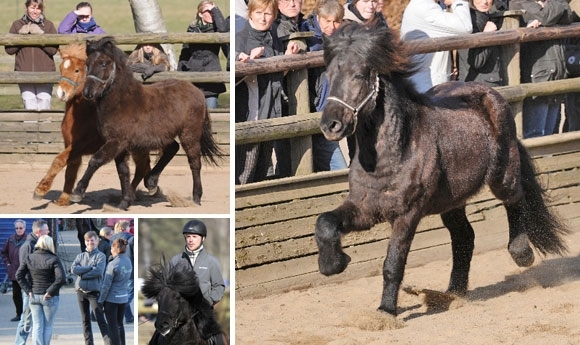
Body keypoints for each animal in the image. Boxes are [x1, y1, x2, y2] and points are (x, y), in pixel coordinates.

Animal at [31, 42, 156, 204]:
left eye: (77, 70)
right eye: (61, 68)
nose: (61, 93)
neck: (85, 115)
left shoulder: (82, 144)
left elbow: (59, 160)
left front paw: (40, 190)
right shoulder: (70, 143)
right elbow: (70, 168)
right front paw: (64, 198)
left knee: (142, 166)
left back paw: (134, 192)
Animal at [314, 22, 568, 316]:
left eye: (358, 75)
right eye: (329, 75)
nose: (330, 125)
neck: (392, 154)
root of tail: (489, 92)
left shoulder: (407, 214)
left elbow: (393, 264)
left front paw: (386, 311)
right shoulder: (365, 208)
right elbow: (325, 222)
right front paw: (334, 264)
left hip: (503, 175)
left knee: (515, 200)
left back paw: (521, 254)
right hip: (451, 201)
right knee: (464, 237)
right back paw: (453, 293)